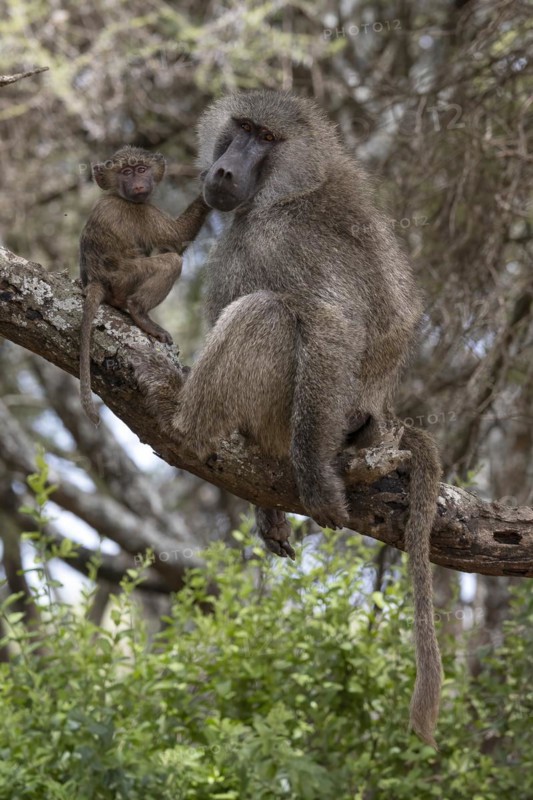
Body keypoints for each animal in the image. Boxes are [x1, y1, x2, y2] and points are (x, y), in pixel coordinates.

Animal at [79, 145, 209, 425]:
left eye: (141, 169)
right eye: (126, 172)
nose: (138, 184)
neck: (117, 194)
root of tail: (96, 280)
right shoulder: (141, 211)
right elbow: (176, 240)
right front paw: (209, 186)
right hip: (125, 279)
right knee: (171, 262)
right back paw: (139, 312)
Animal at [134, 91, 443, 747]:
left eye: (267, 138)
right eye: (242, 128)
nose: (224, 171)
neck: (289, 190)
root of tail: (380, 418)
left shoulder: (283, 238)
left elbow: (330, 322)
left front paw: (316, 483)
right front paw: (267, 512)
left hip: (301, 411)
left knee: (269, 313)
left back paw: (185, 423)